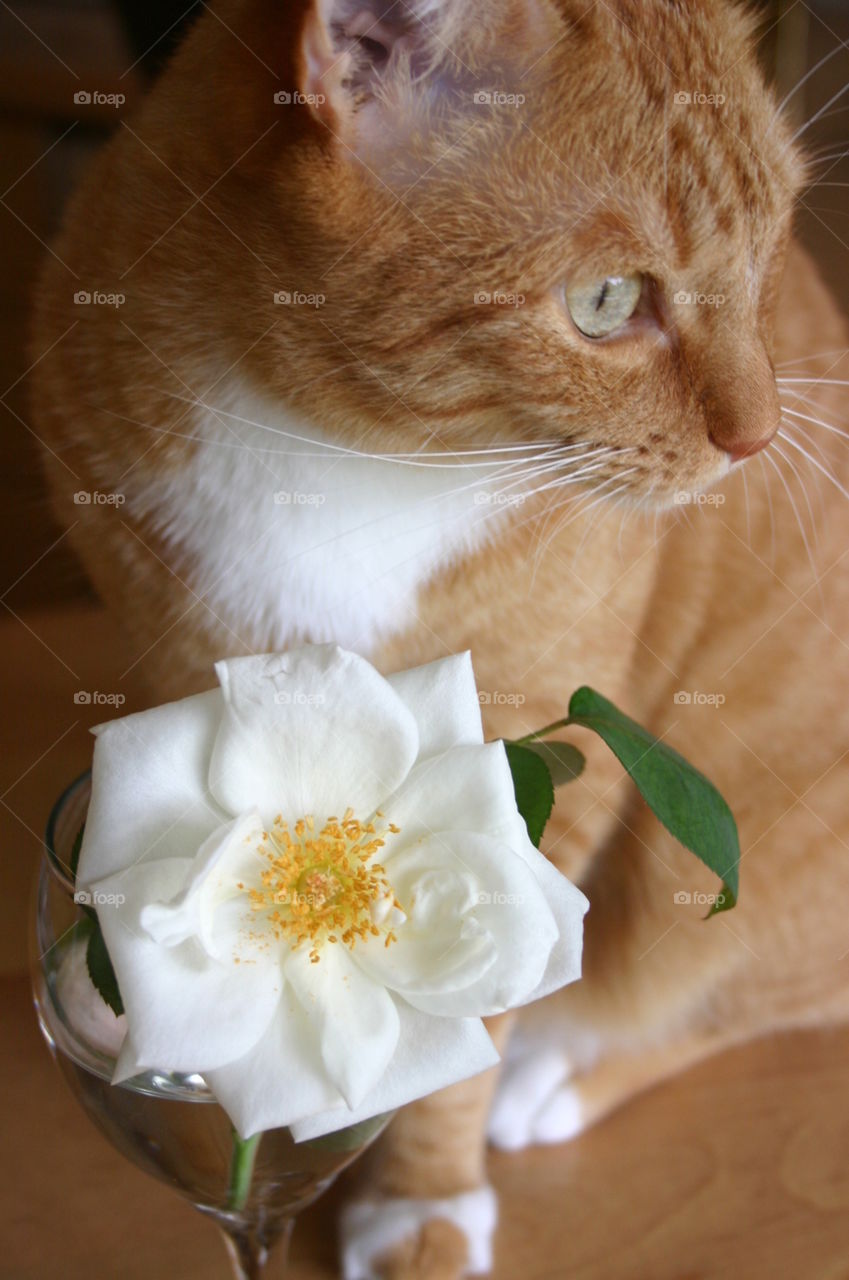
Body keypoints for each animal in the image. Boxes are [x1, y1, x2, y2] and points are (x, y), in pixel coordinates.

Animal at [29, 0, 845, 1274]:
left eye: (764, 262)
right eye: (607, 300)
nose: (757, 439)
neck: (339, 450)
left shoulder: (542, 741)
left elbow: (474, 1018)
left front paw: (422, 1198)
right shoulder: (183, 661)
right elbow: (164, 834)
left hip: (726, 849)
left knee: (711, 984)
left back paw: (555, 1071)